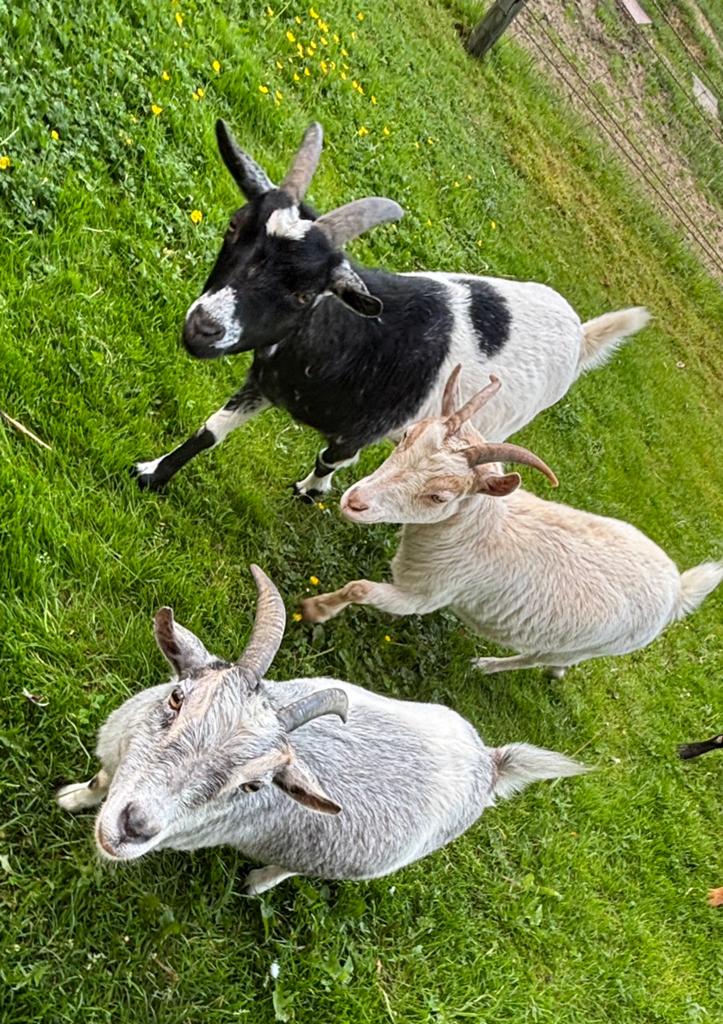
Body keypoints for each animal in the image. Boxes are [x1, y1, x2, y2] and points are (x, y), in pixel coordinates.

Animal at [56, 566, 587, 894]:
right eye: (177, 698)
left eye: (253, 785)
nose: (135, 827)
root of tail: (491, 762)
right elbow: (99, 782)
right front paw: (71, 798)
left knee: (292, 870)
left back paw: (257, 882)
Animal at [132, 120, 649, 498]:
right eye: (234, 227)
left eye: (305, 293)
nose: (202, 328)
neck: (357, 341)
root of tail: (581, 333)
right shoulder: (264, 383)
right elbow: (211, 430)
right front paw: (152, 473)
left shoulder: (358, 431)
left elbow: (331, 458)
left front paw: (311, 489)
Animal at [301, 368, 723, 677]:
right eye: (407, 436)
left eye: (440, 497)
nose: (355, 502)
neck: (476, 530)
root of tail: (678, 590)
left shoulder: (424, 596)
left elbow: (359, 589)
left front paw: (315, 609)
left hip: (585, 647)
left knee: (538, 658)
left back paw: (488, 666)